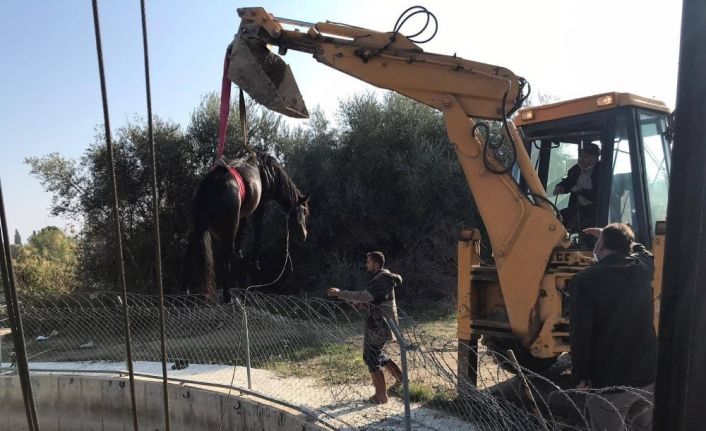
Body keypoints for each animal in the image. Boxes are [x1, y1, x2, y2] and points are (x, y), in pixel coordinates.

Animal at [183, 153, 310, 304]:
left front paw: (239, 253)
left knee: (189, 258)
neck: (269, 171)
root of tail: (206, 189)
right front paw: (255, 261)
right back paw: (228, 298)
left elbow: (242, 230)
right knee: (224, 263)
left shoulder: (243, 212)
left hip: (195, 230)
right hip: (227, 233)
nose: (304, 235)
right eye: (304, 211)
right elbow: (258, 231)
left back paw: (186, 292)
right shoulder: (261, 205)